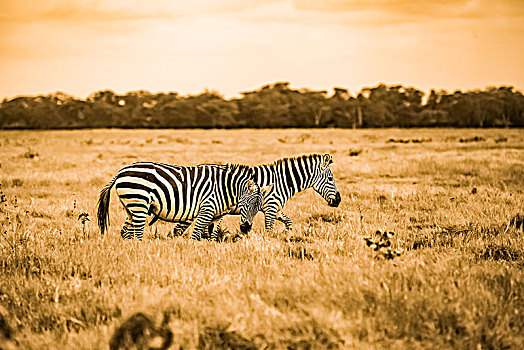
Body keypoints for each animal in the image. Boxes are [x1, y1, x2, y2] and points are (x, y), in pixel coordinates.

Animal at [95, 162, 264, 241]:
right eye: (246, 205)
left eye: (258, 209)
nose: (246, 229)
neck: (225, 188)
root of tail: (120, 172)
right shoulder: (207, 208)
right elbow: (196, 234)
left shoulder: (216, 215)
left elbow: (211, 236)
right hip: (138, 203)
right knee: (136, 232)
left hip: (131, 206)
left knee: (126, 232)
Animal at [174, 152, 342, 235]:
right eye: (330, 179)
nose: (338, 200)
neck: (282, 181)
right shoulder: (271, 207)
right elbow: (269, 228)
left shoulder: (276, 208)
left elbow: (289, 222)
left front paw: (287, 235)